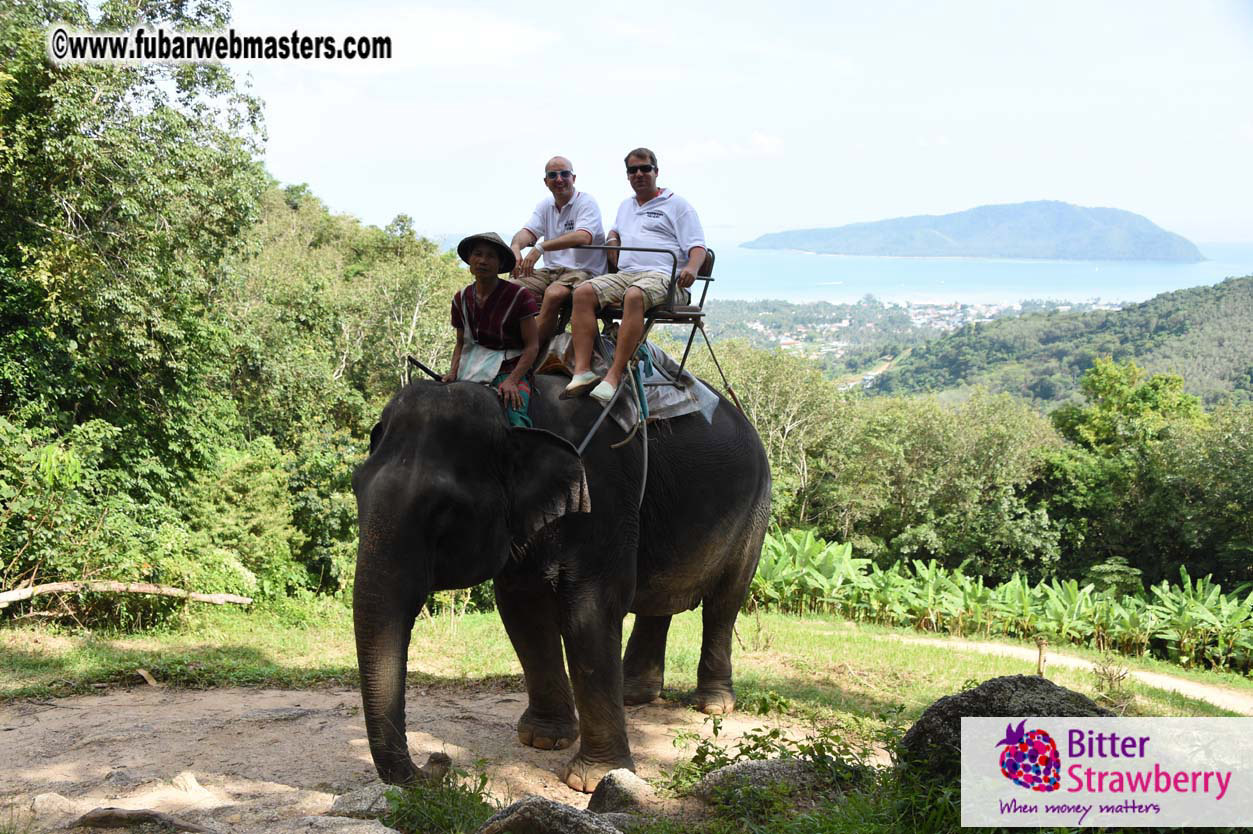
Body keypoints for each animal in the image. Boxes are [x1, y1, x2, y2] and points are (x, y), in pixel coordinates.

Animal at [351, 371, 770, 793]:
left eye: (445, 509)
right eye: (356, 487)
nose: (439, 760)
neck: (515, 413)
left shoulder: (604, 493)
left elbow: (592, 607)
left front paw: (591, 779)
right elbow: (523, 609)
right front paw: (543, 739)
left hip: (755, 512)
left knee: (724, 603)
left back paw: (713, 704)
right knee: (658, 602)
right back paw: (633, 694)